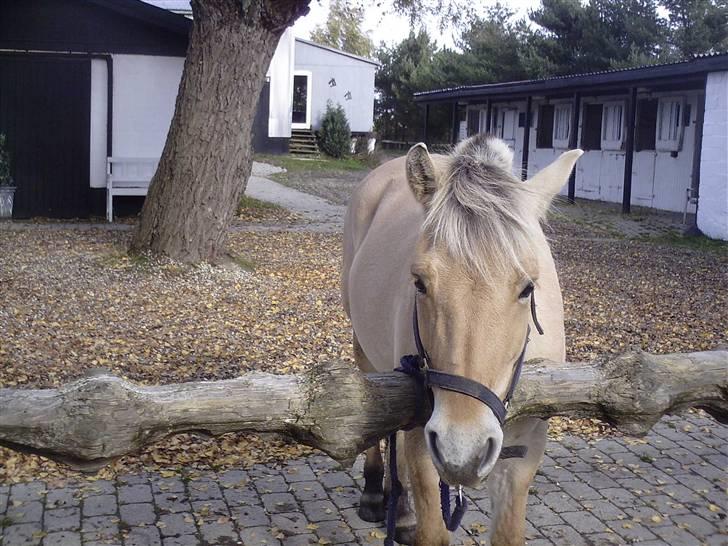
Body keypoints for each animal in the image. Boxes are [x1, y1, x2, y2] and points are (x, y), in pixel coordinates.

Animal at [342, 133, 584, 544]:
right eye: (420, 283)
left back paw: (399, 510)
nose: (462, 450)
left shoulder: (523, 456)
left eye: (528, 288)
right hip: (365, 346)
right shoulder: (427, 444)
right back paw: (377, 494)